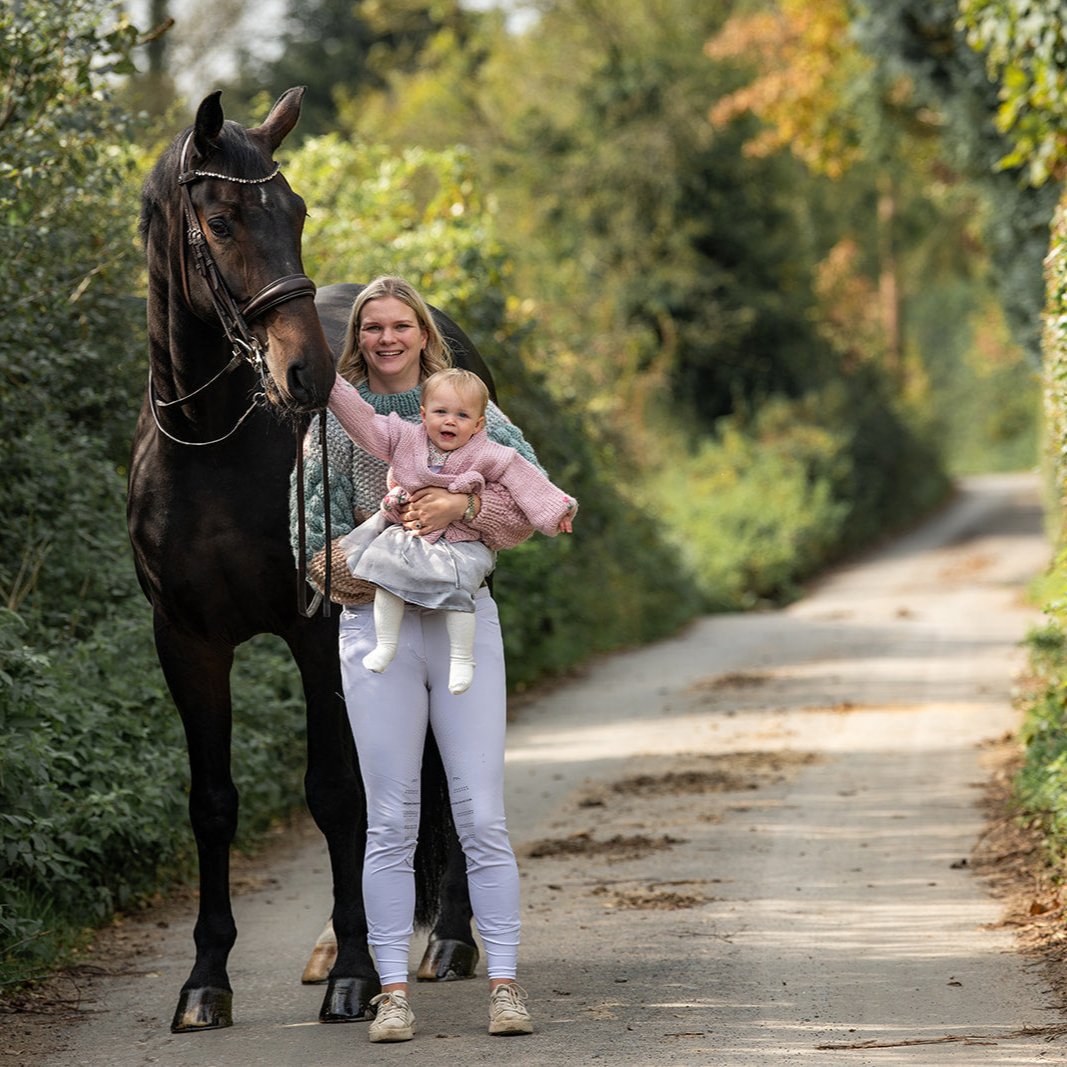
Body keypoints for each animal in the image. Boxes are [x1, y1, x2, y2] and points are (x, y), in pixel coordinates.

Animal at [123, 89, 475, 1032]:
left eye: (298, 212)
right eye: (220, 220)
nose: (307, 373)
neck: (212, 448)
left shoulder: (315, 633)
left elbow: (335, 791)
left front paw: (356, 970)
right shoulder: (186, 643)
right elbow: (212, 803)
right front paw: (205, 980)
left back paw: (450, 938)